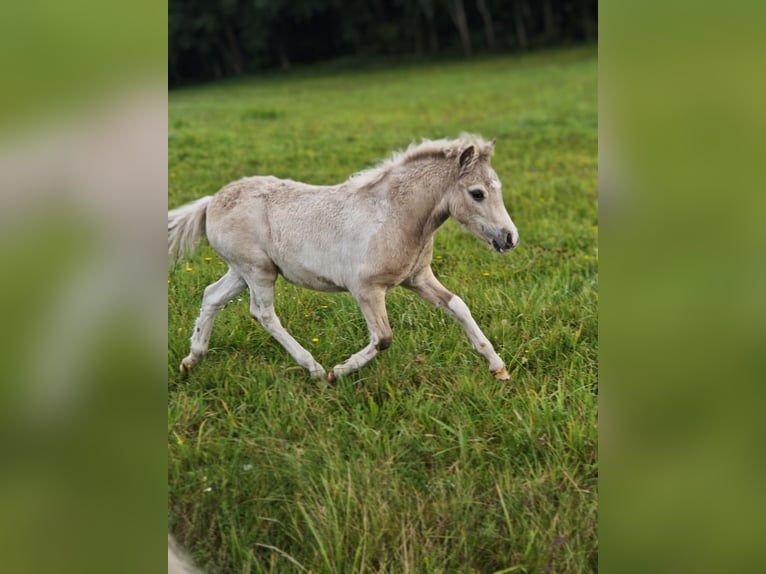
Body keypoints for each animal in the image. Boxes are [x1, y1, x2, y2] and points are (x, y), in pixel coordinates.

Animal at [168, 135, 519, 382]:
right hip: (258, 271)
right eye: (477, 193)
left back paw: (191, 361)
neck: (395, 215)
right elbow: (383, 338)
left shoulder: (418, 278)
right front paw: (338, 371)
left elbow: (458, 306)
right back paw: (314, 368)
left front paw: (498, 367)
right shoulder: (366, 289)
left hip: (242, 272)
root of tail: (212, 201)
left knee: (212, 296)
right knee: (263, 313)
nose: (509, 238)